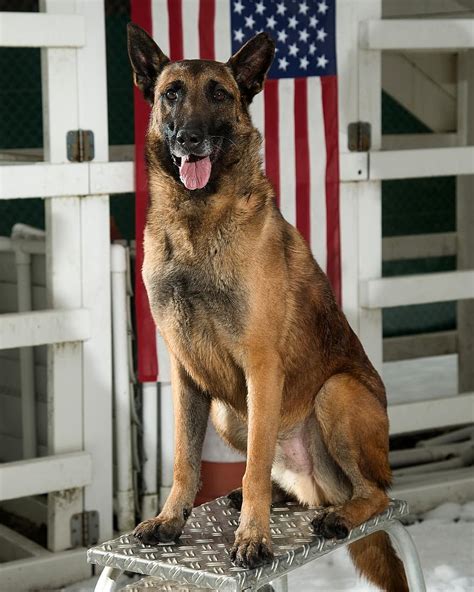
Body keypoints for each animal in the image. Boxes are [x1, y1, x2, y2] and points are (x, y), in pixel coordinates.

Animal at [128, 23, 410, 592]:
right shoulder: (186, 375)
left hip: (335, 394)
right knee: (297, 483)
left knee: (374, 492)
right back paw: (283, 496)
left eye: (219, 94)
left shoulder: (260, 367)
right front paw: (170, 519)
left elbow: (255, 463)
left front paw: (251, 538)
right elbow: (184, 461)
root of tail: (321, 486)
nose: (189, 138)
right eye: (172, 93)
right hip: (226, 409)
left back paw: (337, 515)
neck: (197, 220)